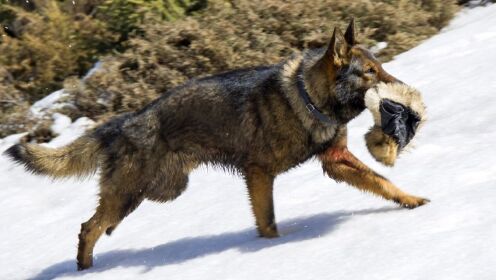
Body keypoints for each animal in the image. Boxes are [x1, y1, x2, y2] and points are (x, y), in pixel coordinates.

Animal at [3, 19, 428, 270]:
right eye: (370, 72)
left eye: (381, 67)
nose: (406, 94)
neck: (310, 97)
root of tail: (122, 122)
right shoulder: (259, 174)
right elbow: (268, 222)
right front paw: (273, 249)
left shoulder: (336, 160)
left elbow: (382, 182)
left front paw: (411, 201)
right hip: (135, 192)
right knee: (88, 227)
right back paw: (85, 269)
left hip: (157, 190)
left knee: (99, 224)